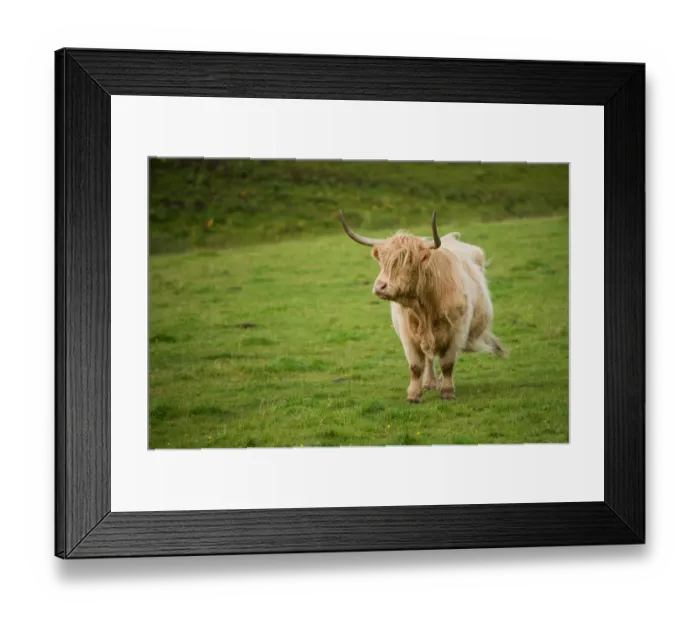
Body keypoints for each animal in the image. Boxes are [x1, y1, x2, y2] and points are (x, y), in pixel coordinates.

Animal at [340, 210, 507, 403]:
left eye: (408, 262)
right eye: (382, 261)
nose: (380, 286)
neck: (425, 307)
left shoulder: (458, 331)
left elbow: (448, 363)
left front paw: (447, 392)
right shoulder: (408, 335)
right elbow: (416, 365)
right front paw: (414, 394)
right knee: (428, 359)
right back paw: (428, 383)